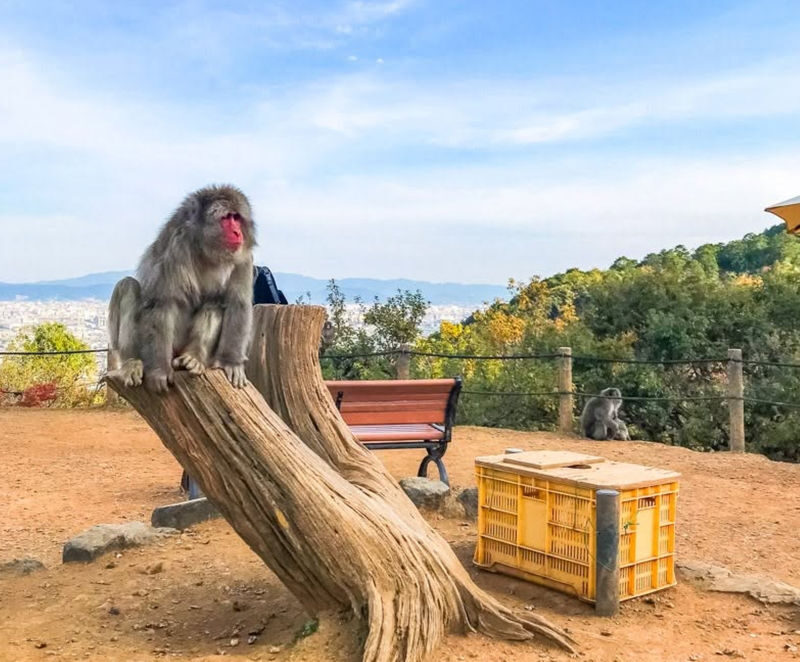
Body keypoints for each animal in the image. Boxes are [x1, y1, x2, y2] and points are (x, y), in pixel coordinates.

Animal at [106, 184, 256, 393]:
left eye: (237, 218)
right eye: (226, 218)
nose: (237, 233)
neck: (207, 251)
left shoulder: (243, 256)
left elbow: (238, 302)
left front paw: (231, 362)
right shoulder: (176, 247)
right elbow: (163, 302)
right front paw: (159, 372)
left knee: (215, 300)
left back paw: (194, 357)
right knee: (127, 286)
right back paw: (132, 362)